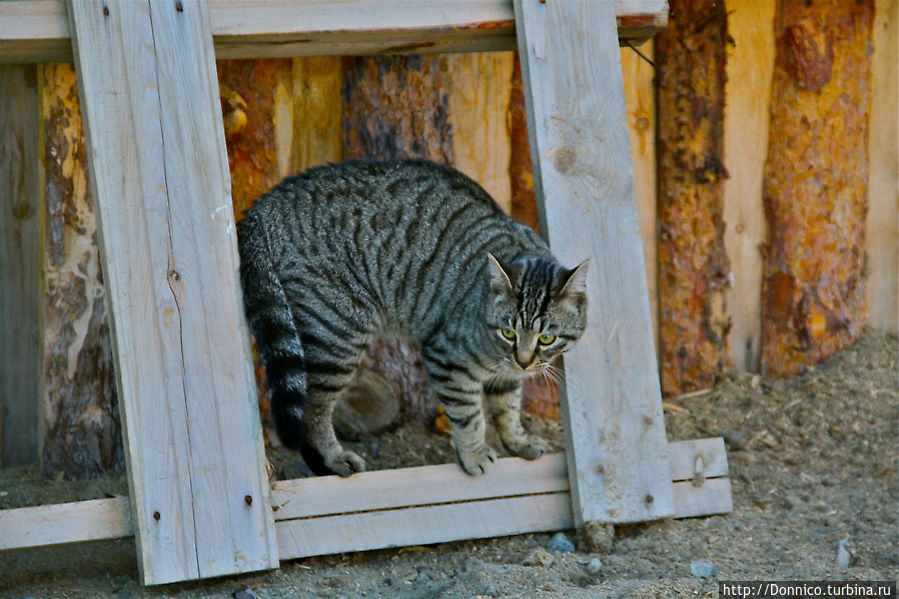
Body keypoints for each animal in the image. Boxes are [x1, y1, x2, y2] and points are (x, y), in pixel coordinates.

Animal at [239, 159, 592, 478]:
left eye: (547, 337)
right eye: (509, 332)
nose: (524, 360)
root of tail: (264, 204)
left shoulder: (507, 376)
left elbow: (508, 407)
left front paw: (517, 441)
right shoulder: (447, 358)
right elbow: (470, 415)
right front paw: (474, 454)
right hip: (337, 335)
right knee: (312, 408)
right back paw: (333, 459)